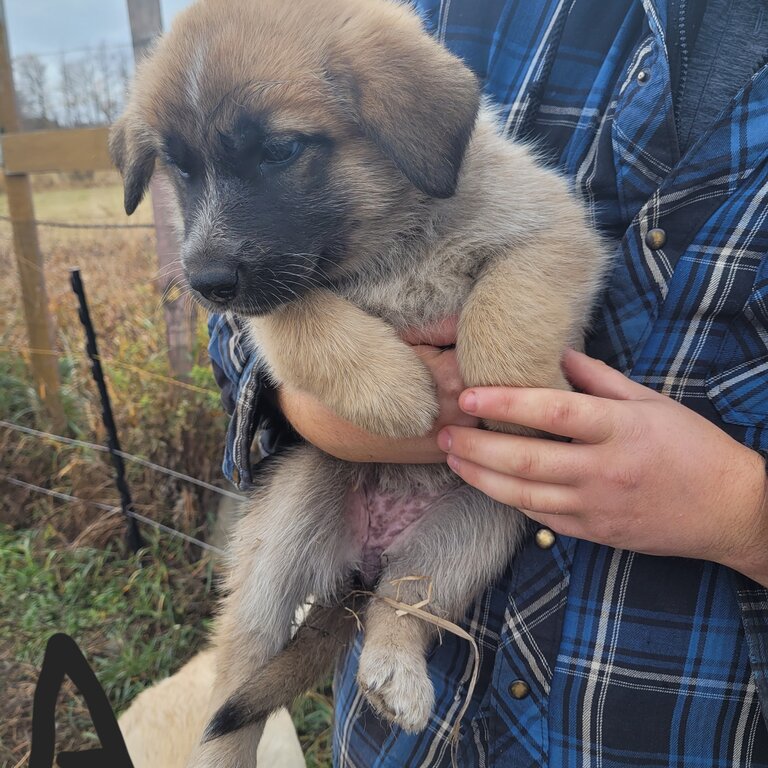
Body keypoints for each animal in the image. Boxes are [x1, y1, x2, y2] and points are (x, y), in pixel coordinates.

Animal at [109, 0, 612, 764]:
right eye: (181, 170)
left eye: (280, 150)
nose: (204, 282)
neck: (384, 242)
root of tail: (363, 557)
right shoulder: (267, 307)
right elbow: (300, 318)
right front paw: (396, 392)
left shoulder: (556, 232)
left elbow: (506, 310)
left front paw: (519, 404)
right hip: (283, 531)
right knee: (238, 678)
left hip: (474, 530)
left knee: (401, 606)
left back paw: (394, 670)